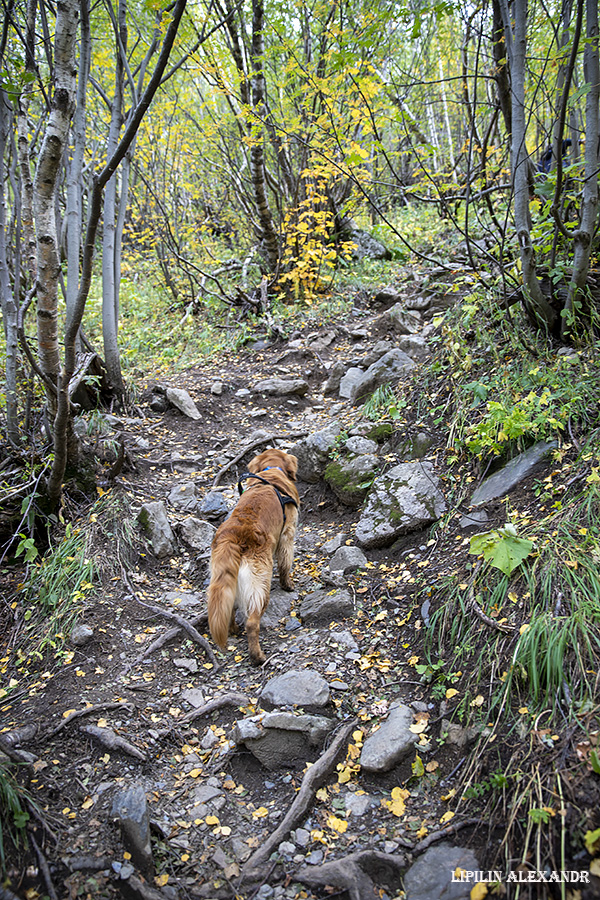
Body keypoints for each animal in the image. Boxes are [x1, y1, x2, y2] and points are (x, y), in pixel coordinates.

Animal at [207, 448, 300, 664]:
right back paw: (258, 656)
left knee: (229, 608)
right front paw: (288, 585)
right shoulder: (287, 534)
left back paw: (233, 629)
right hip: (260, 582)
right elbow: (285, 564)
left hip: (224, 578)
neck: (271, 472)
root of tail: (233, 537)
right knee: (252, 622)